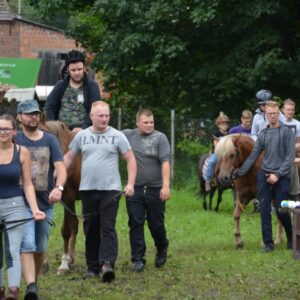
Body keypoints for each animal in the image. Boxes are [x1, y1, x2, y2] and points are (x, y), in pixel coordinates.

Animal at [41, 120, 81, 274]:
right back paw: (72, 257)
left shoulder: (68, 198)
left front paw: (63, 265)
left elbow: (65, 230)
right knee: (76, 223)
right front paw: (43, 263)